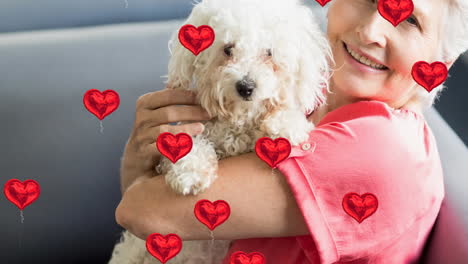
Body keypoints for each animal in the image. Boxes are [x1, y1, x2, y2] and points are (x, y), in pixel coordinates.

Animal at [108, 0, 330, 262]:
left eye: (269, 53)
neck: (238, 121)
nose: (245, 87)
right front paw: (190, 173)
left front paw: (285, 126)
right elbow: (189, 144)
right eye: (227, 49)